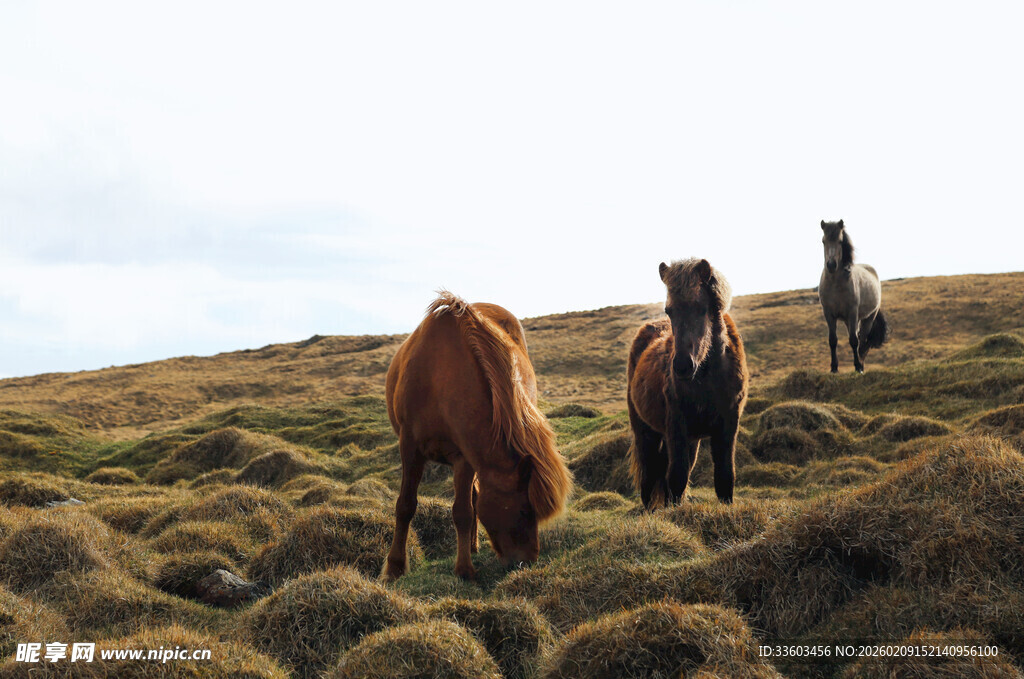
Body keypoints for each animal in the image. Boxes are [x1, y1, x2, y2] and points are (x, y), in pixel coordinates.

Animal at [383, 291, 571, 581]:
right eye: (525, 509)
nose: (528, 561)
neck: (439, 377)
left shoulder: (464, 456)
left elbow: (463, 511)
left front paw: (464, 569)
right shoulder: (410, 448)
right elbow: (405, 506)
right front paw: (395, 567)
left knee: (471, 499)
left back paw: (471, 547)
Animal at [626, 258, 748, 508]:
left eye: (701, 308)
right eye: (669, 311)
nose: (682, 366)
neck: (708, 379)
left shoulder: (728, 425)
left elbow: (724, 477)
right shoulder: (677, 426)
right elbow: (677, 477)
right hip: (646, 431)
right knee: (649, 476)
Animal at [818, 219, 890, 373]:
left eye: (840, 241)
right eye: (823, 241)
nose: (831, 265)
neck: (835, 284)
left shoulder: (852, 312)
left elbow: (854, 341)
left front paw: (857, 366)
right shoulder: (828, 313)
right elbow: (832, 340)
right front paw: (834, 368)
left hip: (868, 318)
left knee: (862, 341)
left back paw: (861, 365)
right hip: (848, 320)